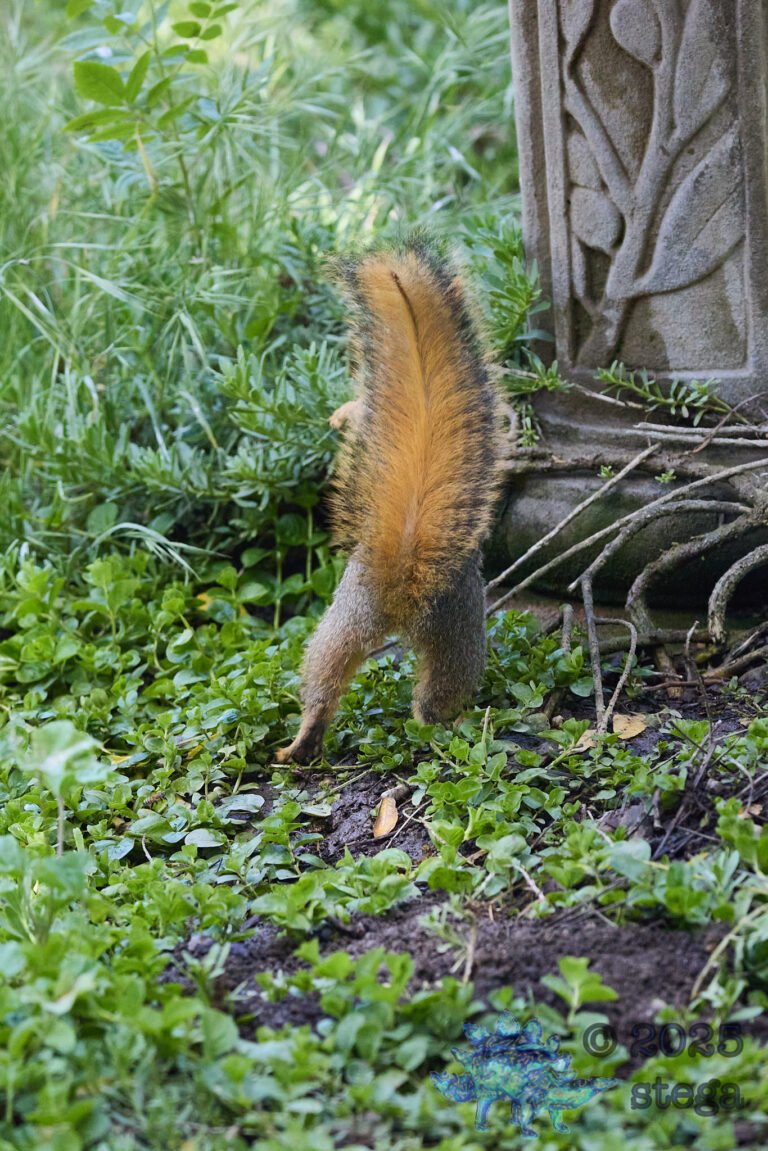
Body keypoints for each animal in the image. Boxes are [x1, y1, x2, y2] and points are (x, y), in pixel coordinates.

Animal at [277, 236, 502, 764]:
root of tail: (402, 574)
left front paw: (340, 416)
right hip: (453, 625)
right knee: (434, 695)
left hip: (354, 615)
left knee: (332, 675)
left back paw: (304, 741)